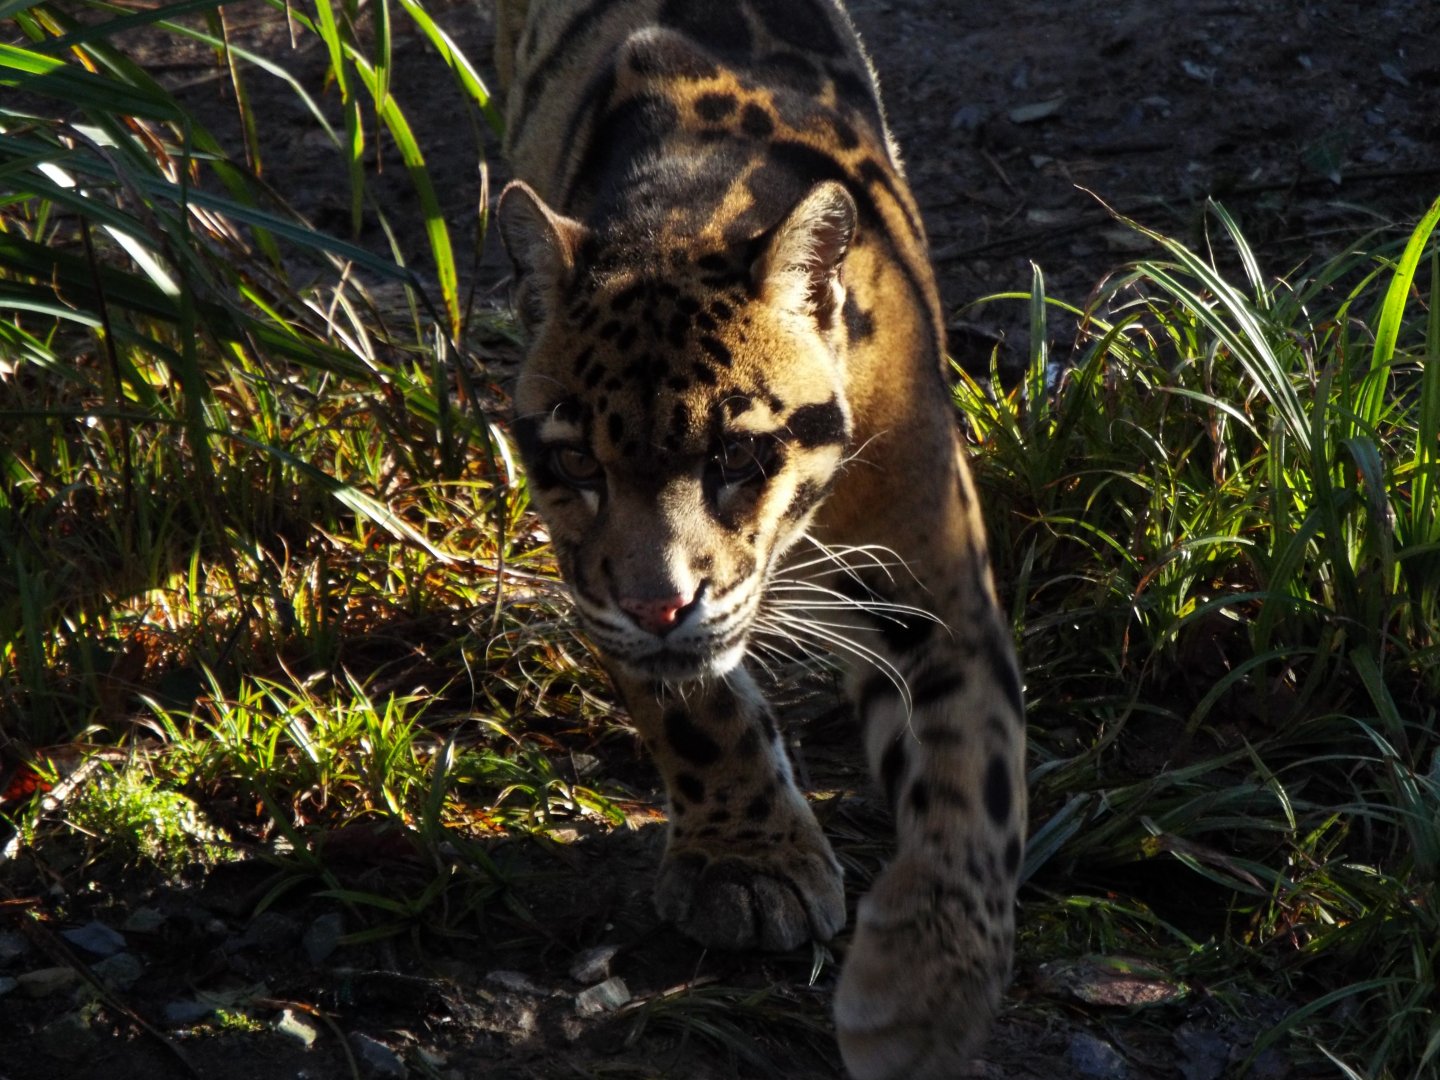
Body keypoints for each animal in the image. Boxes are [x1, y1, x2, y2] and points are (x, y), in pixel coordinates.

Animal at [491, 2, 1026, 1076]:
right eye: (576, 464)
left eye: (737, 454)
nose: (659, 603)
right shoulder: (601, 586)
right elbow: (695, 703)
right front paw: (748, 866)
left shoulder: (934, 580)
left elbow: (971, 772)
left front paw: (921, 994)